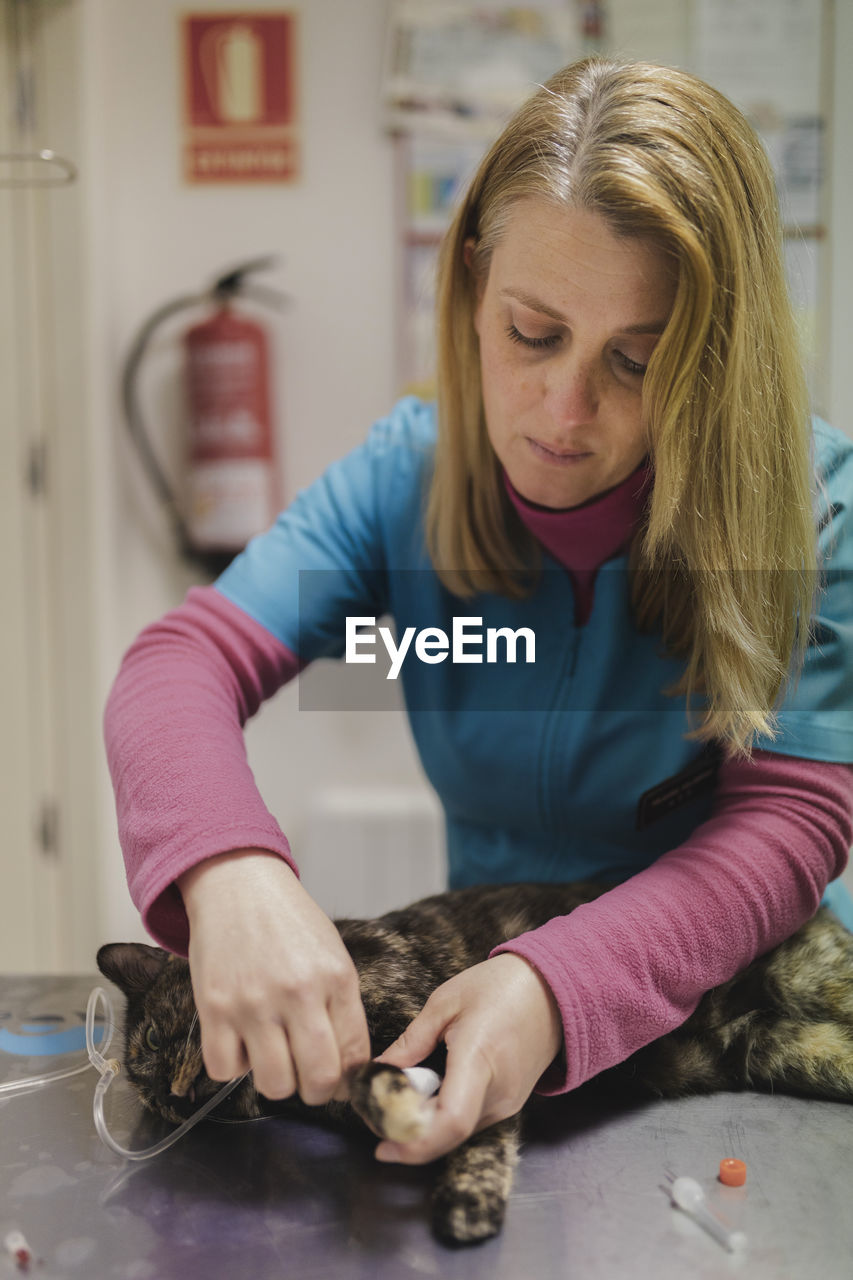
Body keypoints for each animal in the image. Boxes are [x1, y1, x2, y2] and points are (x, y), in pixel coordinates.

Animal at [96, 885, 850, 1244]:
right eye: (161, 1104)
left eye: (161, 1037)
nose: (179, 1091)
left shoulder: (461, 1050)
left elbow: (472, 1134)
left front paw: (465, 1203)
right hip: (786, 1048)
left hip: (815, 983)